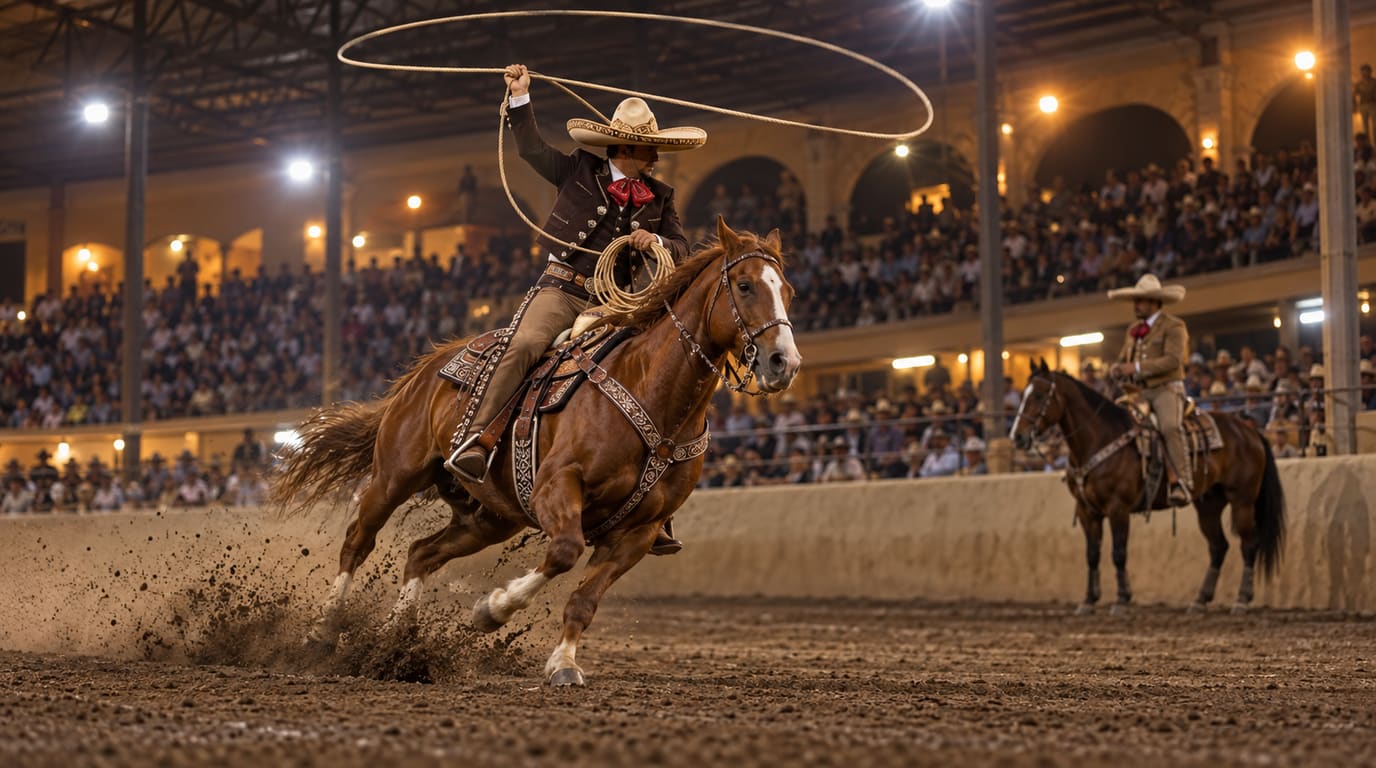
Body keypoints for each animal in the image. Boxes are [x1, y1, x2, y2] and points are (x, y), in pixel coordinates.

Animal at [271, 218, 801, 685]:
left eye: (789, 291)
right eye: (746, 286)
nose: (785, 363)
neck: (652, 391)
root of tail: (428, 368)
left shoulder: (640, 531)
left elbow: (584, 600)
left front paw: (563, 664)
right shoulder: (557, 486)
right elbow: (563, 552)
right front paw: (491, 611)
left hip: (489, 516)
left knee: (422, 553)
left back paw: (395, 640)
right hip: (394, 477)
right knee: (358, 540)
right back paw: (323, 633)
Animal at [1009, 360, 1285, 615]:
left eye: (1039, 395)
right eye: (1024, 395)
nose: (1017, 437)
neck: (1101, 438)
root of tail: (1250, 432)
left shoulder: (1118, 508)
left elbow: (1118, 552)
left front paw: (1122, 600)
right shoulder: (1088, 512)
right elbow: (1092, 555)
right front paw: (1088, 601)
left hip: (1242, 502)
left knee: (1249, 544)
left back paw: (1241, 600)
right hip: (1209, 505)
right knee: (1218, 547)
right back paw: (1199, 601)